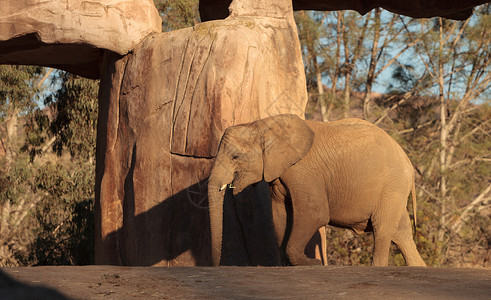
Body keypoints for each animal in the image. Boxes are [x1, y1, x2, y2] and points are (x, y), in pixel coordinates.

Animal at [208, 113, 426, 266]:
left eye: (235, 157)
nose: (216, 265)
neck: (263, 124)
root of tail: (408, 162)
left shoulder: (303, 170)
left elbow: (315, 214)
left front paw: (313, 263)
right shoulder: (279, 175)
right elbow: (280, 216)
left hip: (392, 186)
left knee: (382, 229)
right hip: (394, 190)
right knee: (401, 234)